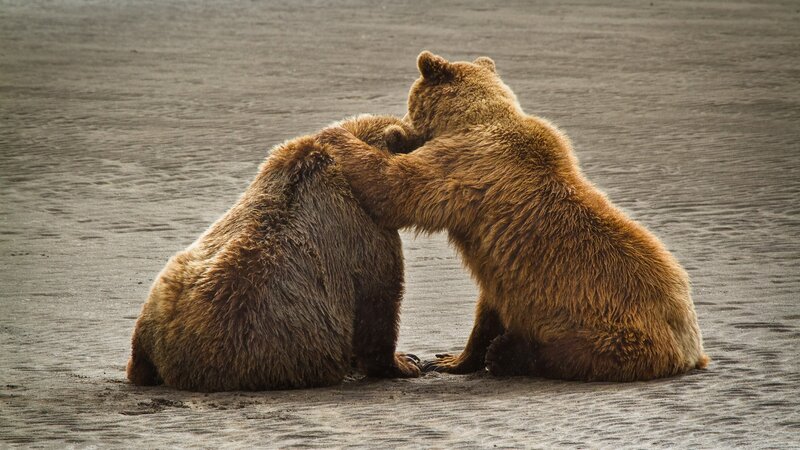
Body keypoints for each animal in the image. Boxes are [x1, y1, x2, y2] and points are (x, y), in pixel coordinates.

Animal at [316, 51, 709, 382]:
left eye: (410, 102)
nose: (402, 126)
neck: (473, 120)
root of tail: (692, 350)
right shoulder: (499, 271)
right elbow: (487, 309)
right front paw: (450, 359)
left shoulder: (464, 166)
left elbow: (396, 188)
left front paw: (336, 133)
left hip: (611, 333)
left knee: (571, 353)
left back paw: (510, 354)